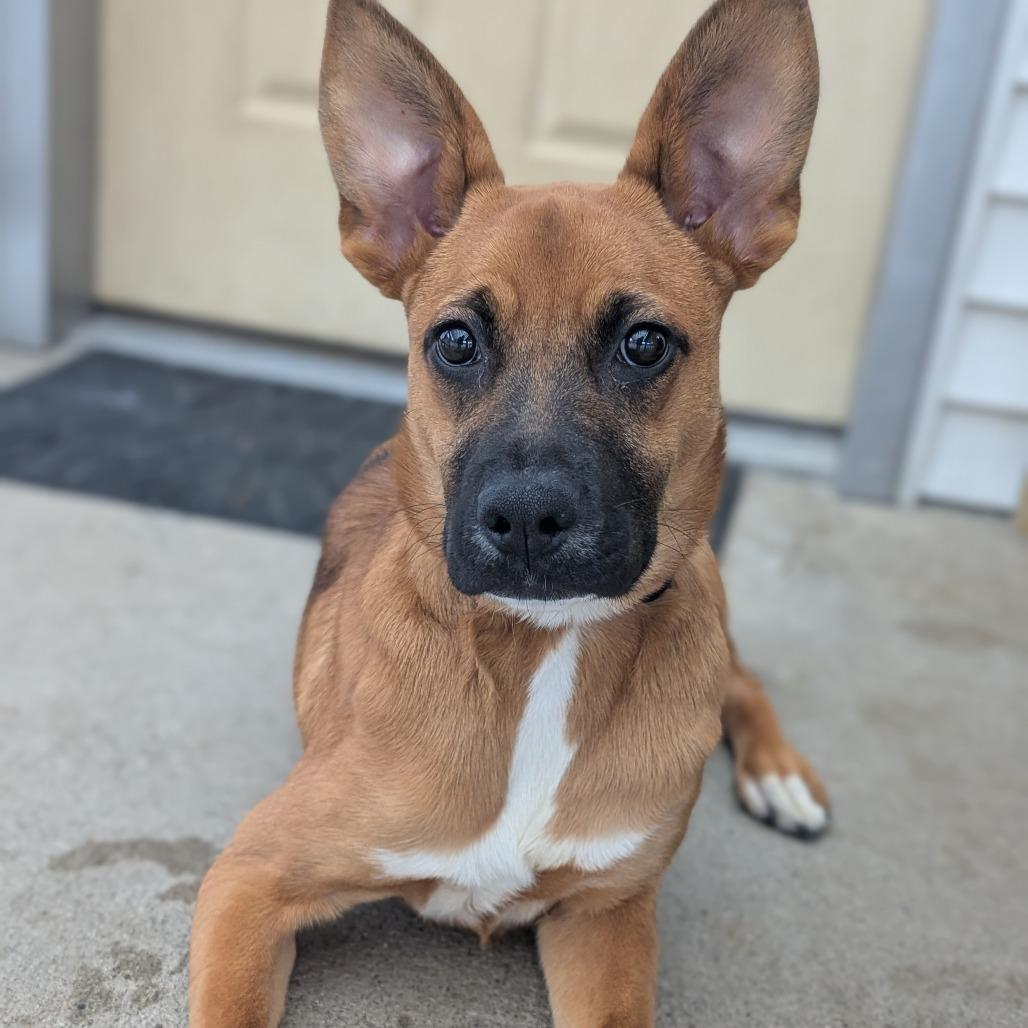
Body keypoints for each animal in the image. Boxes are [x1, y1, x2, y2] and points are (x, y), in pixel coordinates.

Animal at [189, 1, 828, 1024]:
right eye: (454, 341)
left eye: (645, 343)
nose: (526, 519)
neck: (541, 650)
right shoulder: (251, 876)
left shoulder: (608, 919)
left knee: (742, 678)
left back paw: (779, 775)